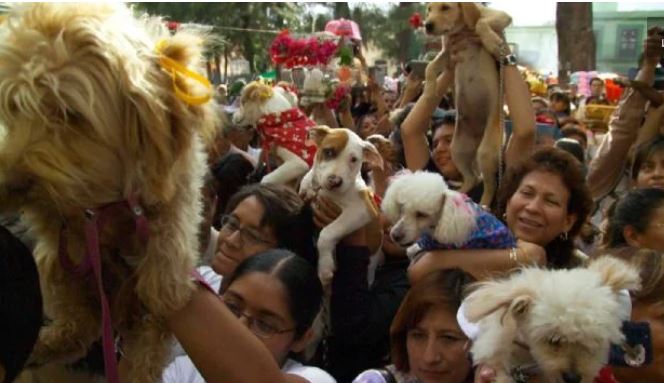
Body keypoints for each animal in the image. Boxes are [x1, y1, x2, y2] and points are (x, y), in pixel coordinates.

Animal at [0, 3, 218, 383]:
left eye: (69, 114)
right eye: (14, 106)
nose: (14, 183)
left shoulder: (178, 177)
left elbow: (172, 221)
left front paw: (166, 282)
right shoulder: (61, 227)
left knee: (145, 337)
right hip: (59, 273)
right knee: (80, 320)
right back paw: (48, 344)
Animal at [300, 126, 384, 284]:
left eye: (354, 160)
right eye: (328, 152)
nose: (335, 181)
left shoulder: (362, 210)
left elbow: (328, 232)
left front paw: (325, 267)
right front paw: (308, 184)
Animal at [426, 2, 512, 207]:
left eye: (445, 7)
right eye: (428, 9)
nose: (427, 25)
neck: (460, 29)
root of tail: (478, 137)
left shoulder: (501, 16)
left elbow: (481, 22)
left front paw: (492, 42)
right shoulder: (448, 51)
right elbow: (430, 67)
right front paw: (430, 88)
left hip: (486, 152)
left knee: (489, 185)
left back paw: (483, 204)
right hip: (457, 149)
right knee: (472, 178)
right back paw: (457, 193)